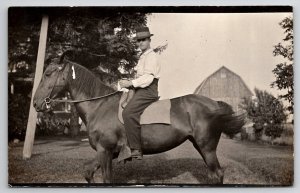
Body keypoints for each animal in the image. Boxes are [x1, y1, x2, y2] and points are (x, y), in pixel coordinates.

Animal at [33, 58, 244, 184]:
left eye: (48, 74)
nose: (35, 103)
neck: (99, 106)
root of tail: (213, 103)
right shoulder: (108, 152)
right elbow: (88, 172)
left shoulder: (105, 151)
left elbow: (107, 180)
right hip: (199, 146)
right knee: (213, 175)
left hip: (207, 147)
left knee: (218, 174)